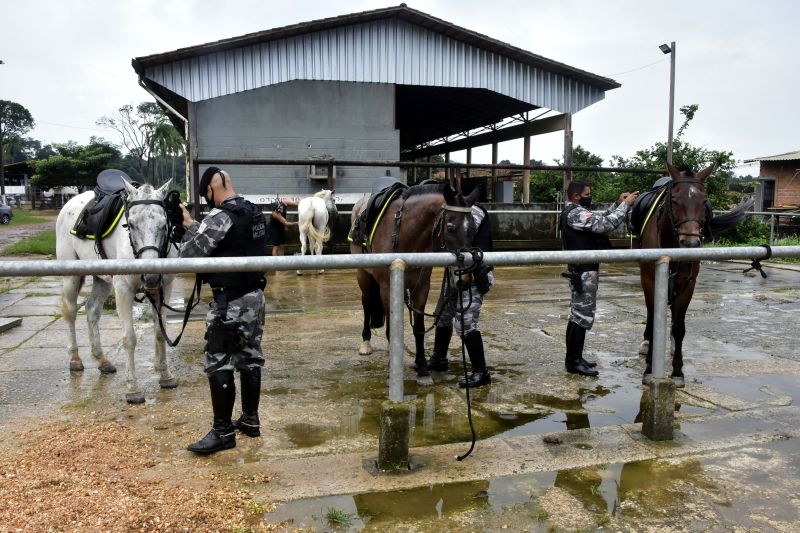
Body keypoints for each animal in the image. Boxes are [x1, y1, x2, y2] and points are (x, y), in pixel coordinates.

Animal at [57, 179, 179, 404]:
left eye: (164, 224)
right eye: (131, 224)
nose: (150, 276)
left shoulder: (163, 288)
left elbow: (160, 333)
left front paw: (165, 375)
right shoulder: (123, 289)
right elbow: (129, 338)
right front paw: (133, 388)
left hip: (102, 279)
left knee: (92, 310)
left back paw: (102, 361)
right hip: (71, 276)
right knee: (70, 311)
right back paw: (75, 360)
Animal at [348, 181, 476, 384]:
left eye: (473, 228)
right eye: (450, 228)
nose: (465, 278)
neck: (404, 234)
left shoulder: (421, 288)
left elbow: (419, 329)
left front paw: (422, 369)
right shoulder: (386, 288)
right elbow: (390, 328)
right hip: (364, 276)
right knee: (367, 304)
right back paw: (366, 343)